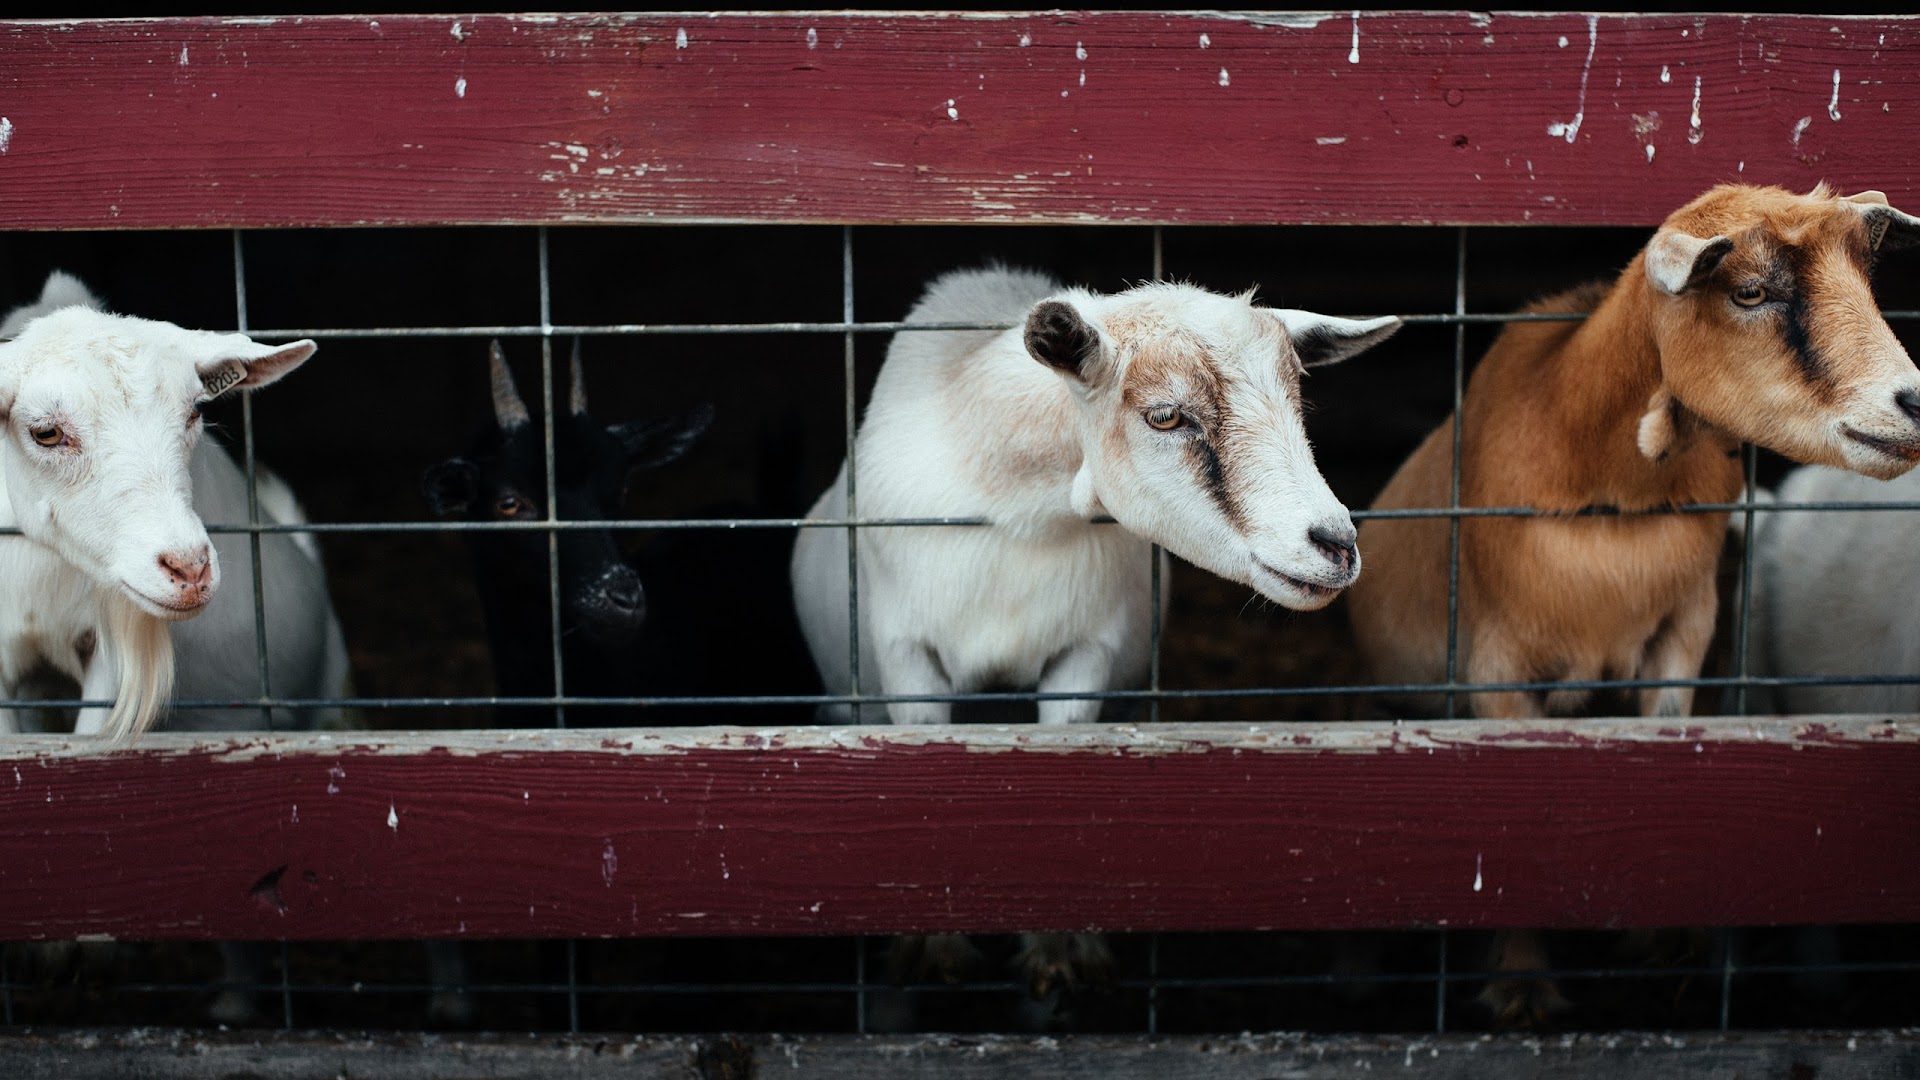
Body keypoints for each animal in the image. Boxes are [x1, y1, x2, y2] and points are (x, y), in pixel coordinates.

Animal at [787, 265, 1405, 999]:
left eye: (1296, 404)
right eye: (1165, 415)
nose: (1335, 544)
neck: (1018, 513)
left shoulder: (1087, 653)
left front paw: (1059, 955)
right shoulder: (905, 654)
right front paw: (937, 954)